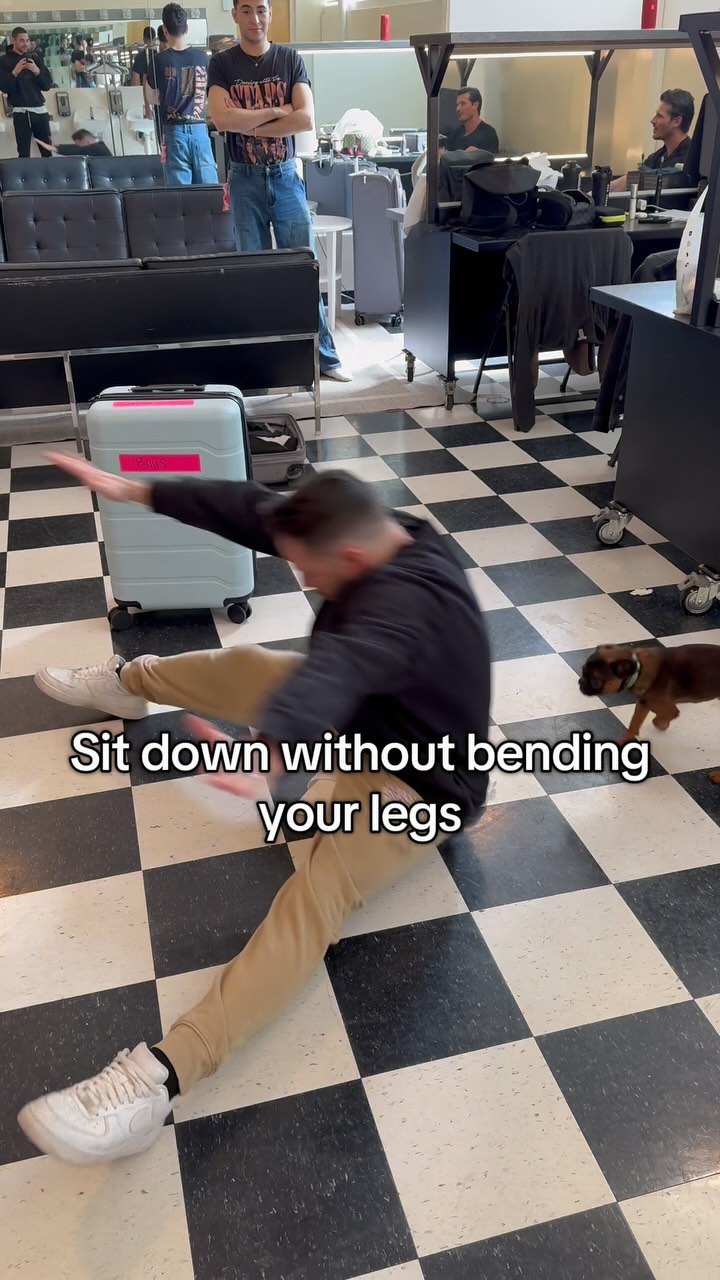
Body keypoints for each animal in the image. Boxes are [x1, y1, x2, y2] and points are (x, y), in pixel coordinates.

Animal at [579, 644, 720, 783]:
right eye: (583, 671)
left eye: (595, 681)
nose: (580, 682)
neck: (638, 668)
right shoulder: (643, 703)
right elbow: (634, 723)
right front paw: (624, 742)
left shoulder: (668, 708)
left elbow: (661, 717)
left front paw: (662, 724)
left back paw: (717, 776)